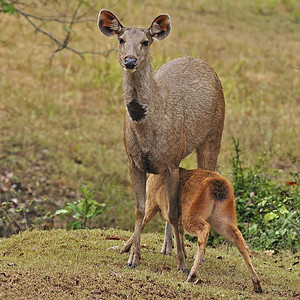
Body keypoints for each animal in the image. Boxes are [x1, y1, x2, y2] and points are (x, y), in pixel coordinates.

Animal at [98, 9, 225, 272]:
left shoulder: (170, 161)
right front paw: (133, 257)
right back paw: (163, 246)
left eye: (145, 41)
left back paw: (196, 255)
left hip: (213, 134)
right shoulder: (134, 160)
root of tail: (201, 62)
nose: (130, 61)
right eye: (121, 39)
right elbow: (140, 208)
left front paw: (183, 263)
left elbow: (175, 211)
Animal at [122, 169, 262, 292]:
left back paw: (192, 275)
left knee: (204, 230)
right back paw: (257, 283)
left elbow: (143, 222)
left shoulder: (152, 202)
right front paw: (183, 255)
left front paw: (126, 250)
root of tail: (217, 185)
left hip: (191, 212)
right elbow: (179, 232)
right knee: (239, 238)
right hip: (223, 217)